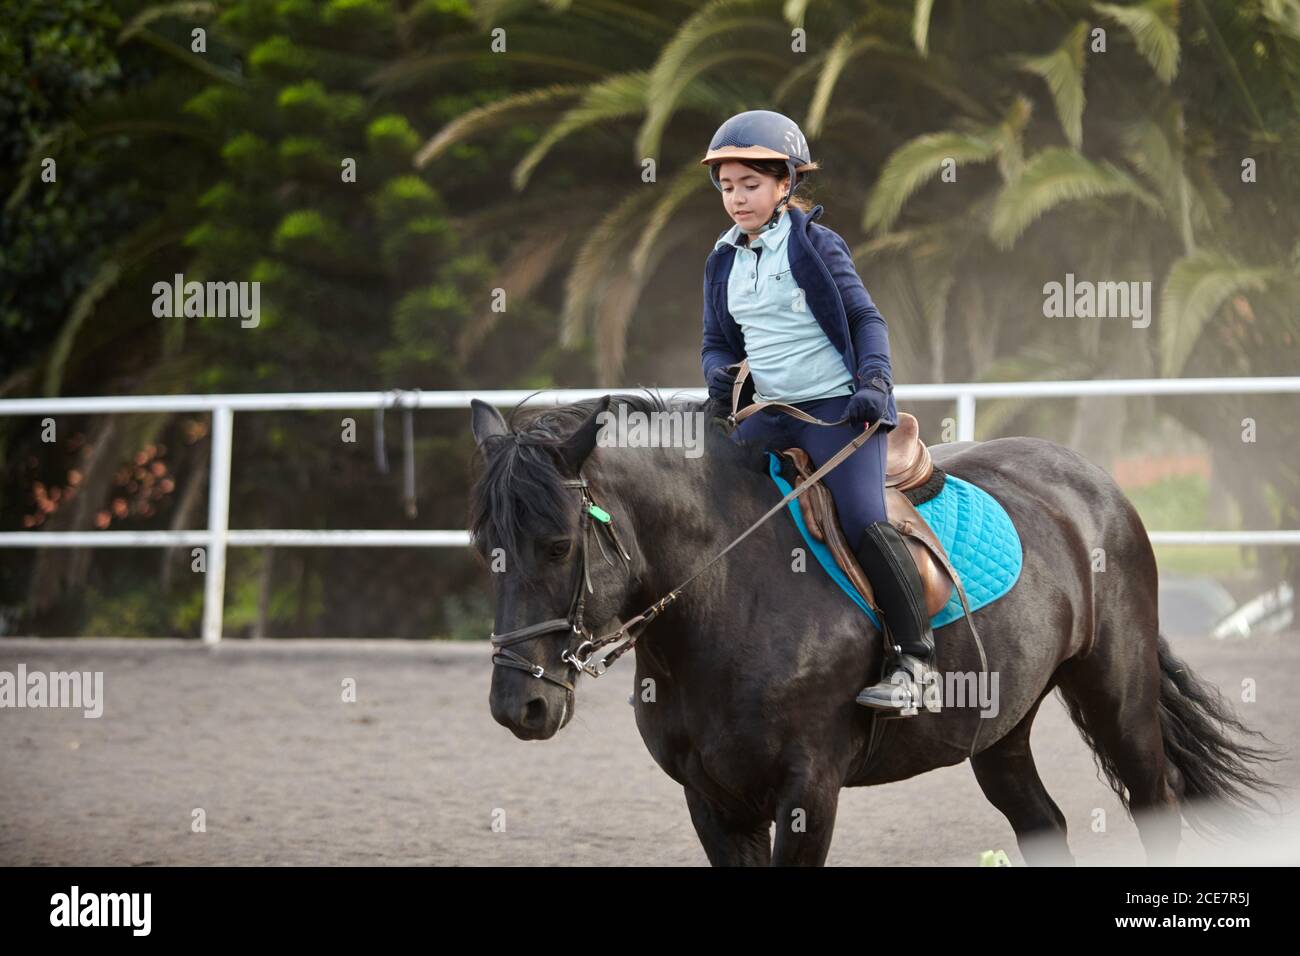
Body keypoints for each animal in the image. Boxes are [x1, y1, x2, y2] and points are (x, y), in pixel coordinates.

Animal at [470, 390, 1279, 868]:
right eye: (486, 549)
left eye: (559, 546)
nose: (520, 707)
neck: (728, 594)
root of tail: (1094, 482)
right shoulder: (712, 801)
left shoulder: (808, 790)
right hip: (1000, 727)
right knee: (1041, 822)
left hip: (1117, 694)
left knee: (1156, 803)